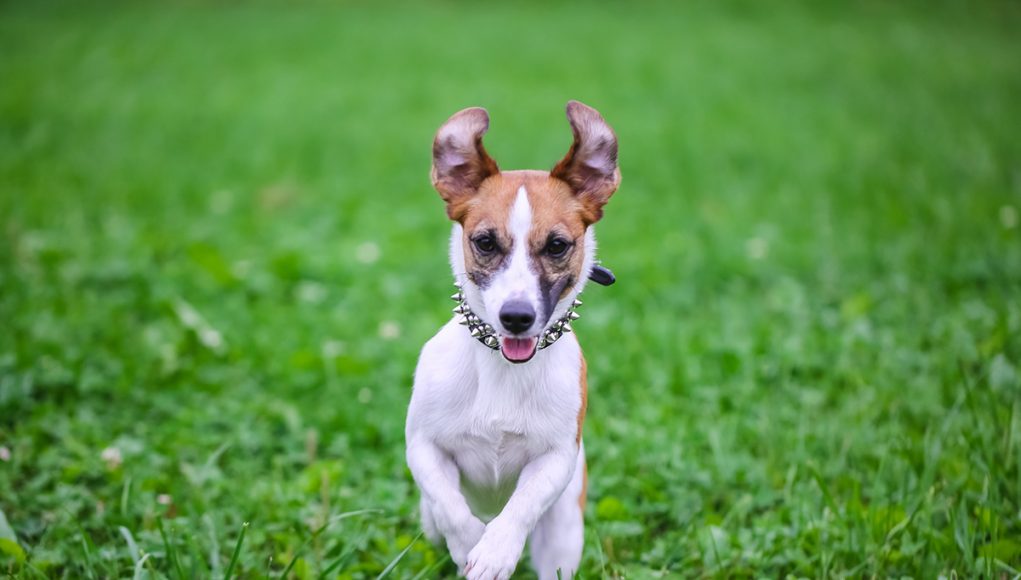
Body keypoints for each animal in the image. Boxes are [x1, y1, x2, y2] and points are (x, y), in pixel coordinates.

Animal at [404, 102, 612, 575]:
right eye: (484, 242)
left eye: (557, 246)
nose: (516, 317)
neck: (502, 368)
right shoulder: (423, 446)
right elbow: (449, 505)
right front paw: (469, 542)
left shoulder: (556, 458)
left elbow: (523, 504)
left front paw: (496, 549)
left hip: (563, 538)